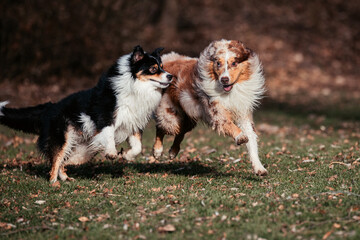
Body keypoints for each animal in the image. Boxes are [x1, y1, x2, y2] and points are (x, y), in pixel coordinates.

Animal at [0, 46, 173, 183]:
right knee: (56, 159)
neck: (135, 86)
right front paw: (112, 153)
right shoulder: (105, 120)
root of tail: (49, 108)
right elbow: (109, 136)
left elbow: (137, 147)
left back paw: (65, 178)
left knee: (63, 160)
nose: (170, 76)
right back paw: (53, 182)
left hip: (79, 147)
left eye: (162, 66)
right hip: (63, 137)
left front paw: (126, 156)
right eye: (153, 69)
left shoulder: (132, 123)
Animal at [152, 38, 268, 175]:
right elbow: (229, 124)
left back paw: (173, 152)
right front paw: (240, 137)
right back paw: (157, 151)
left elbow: (252, 139)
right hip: (170, 116)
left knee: (181, 132)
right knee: (161, 128)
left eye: (234, 63)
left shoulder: (243, 113)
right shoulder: (216, 110)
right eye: (218, 63)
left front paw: (259, 167)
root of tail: (167, 60)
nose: (224, 79)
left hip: (188, 118)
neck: (230, 91)